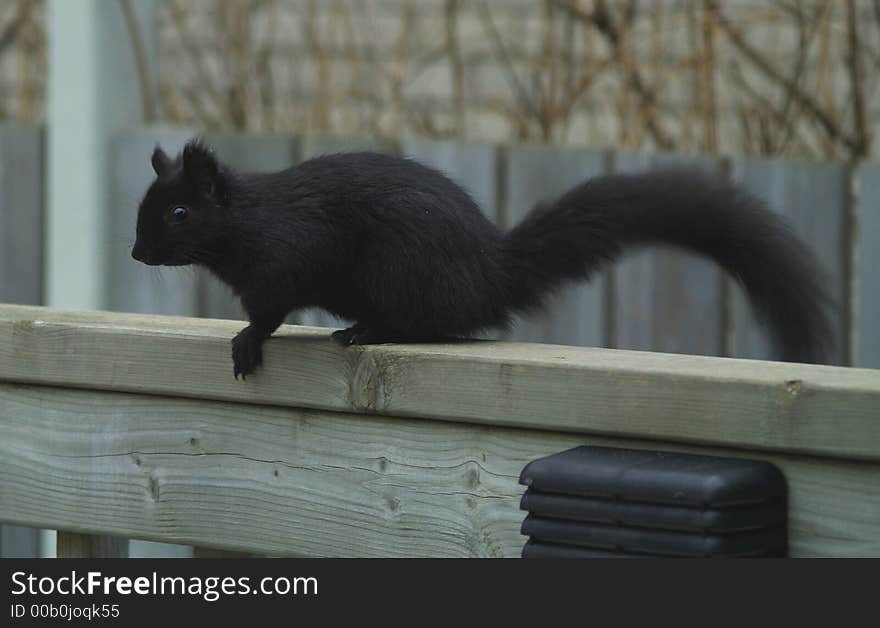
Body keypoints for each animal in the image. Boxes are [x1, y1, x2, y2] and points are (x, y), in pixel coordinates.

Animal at [131, 141, 832, 378]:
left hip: (401, 272)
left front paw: (248, 340)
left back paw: (366, 330)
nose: (137, 253)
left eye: (179, 214)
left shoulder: (285, 260)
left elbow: (270, 310)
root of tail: (490, 272)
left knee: (425, 325)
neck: (245, 221)